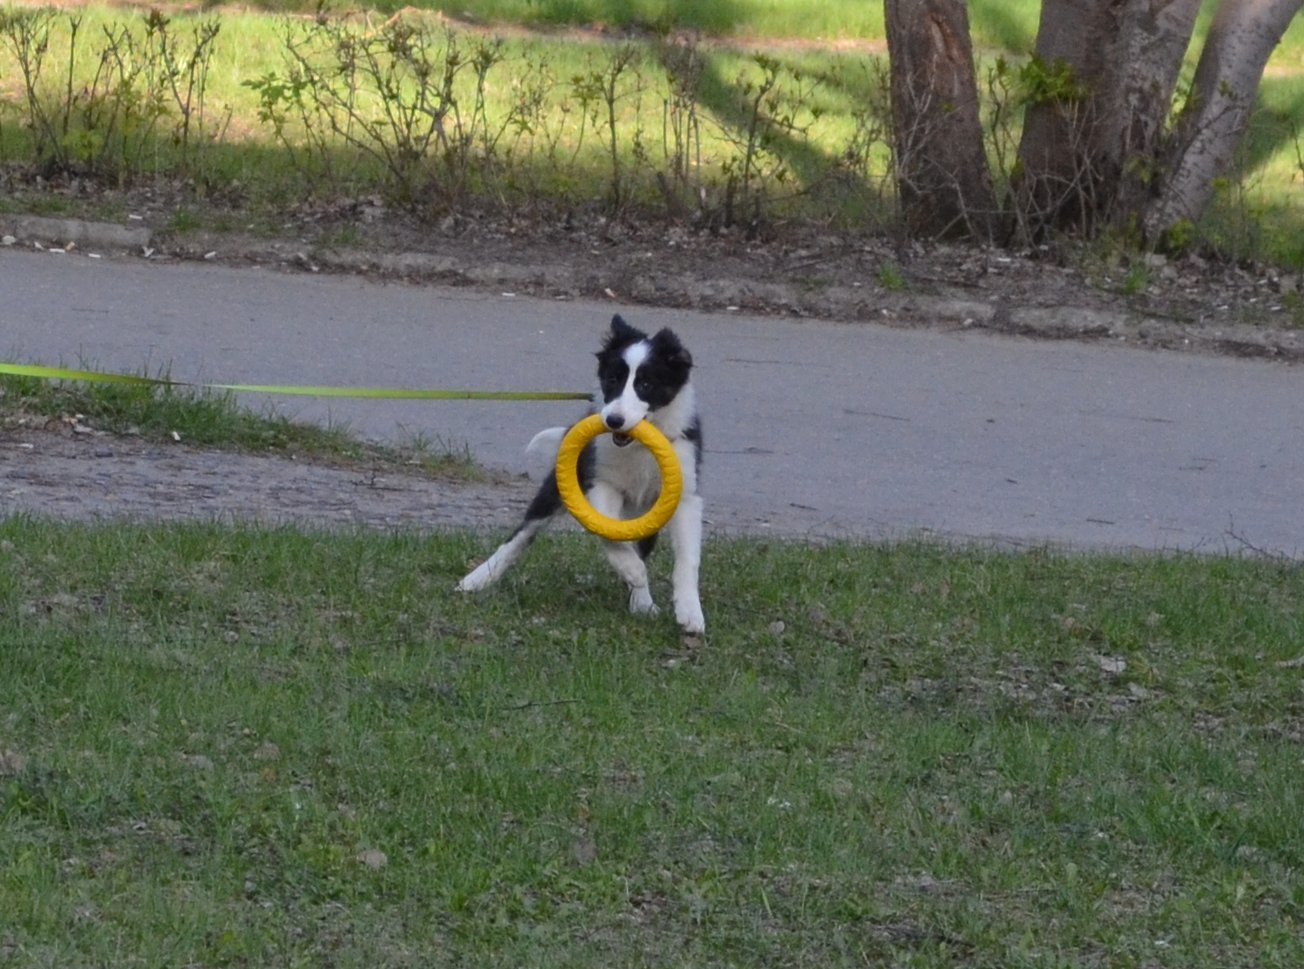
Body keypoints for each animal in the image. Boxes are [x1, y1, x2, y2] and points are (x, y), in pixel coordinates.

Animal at [459, 316, 704, 636]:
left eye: (646, 384)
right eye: (612, 380)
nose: (613, 420)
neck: (638, 448)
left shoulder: (685, 496)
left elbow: (687, 559)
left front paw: (690, 613)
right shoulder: (598, 481)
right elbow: (607, 530)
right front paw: (631, 569)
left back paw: (642, 603)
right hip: (556, 488)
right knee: (519, 536)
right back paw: (477, 578)